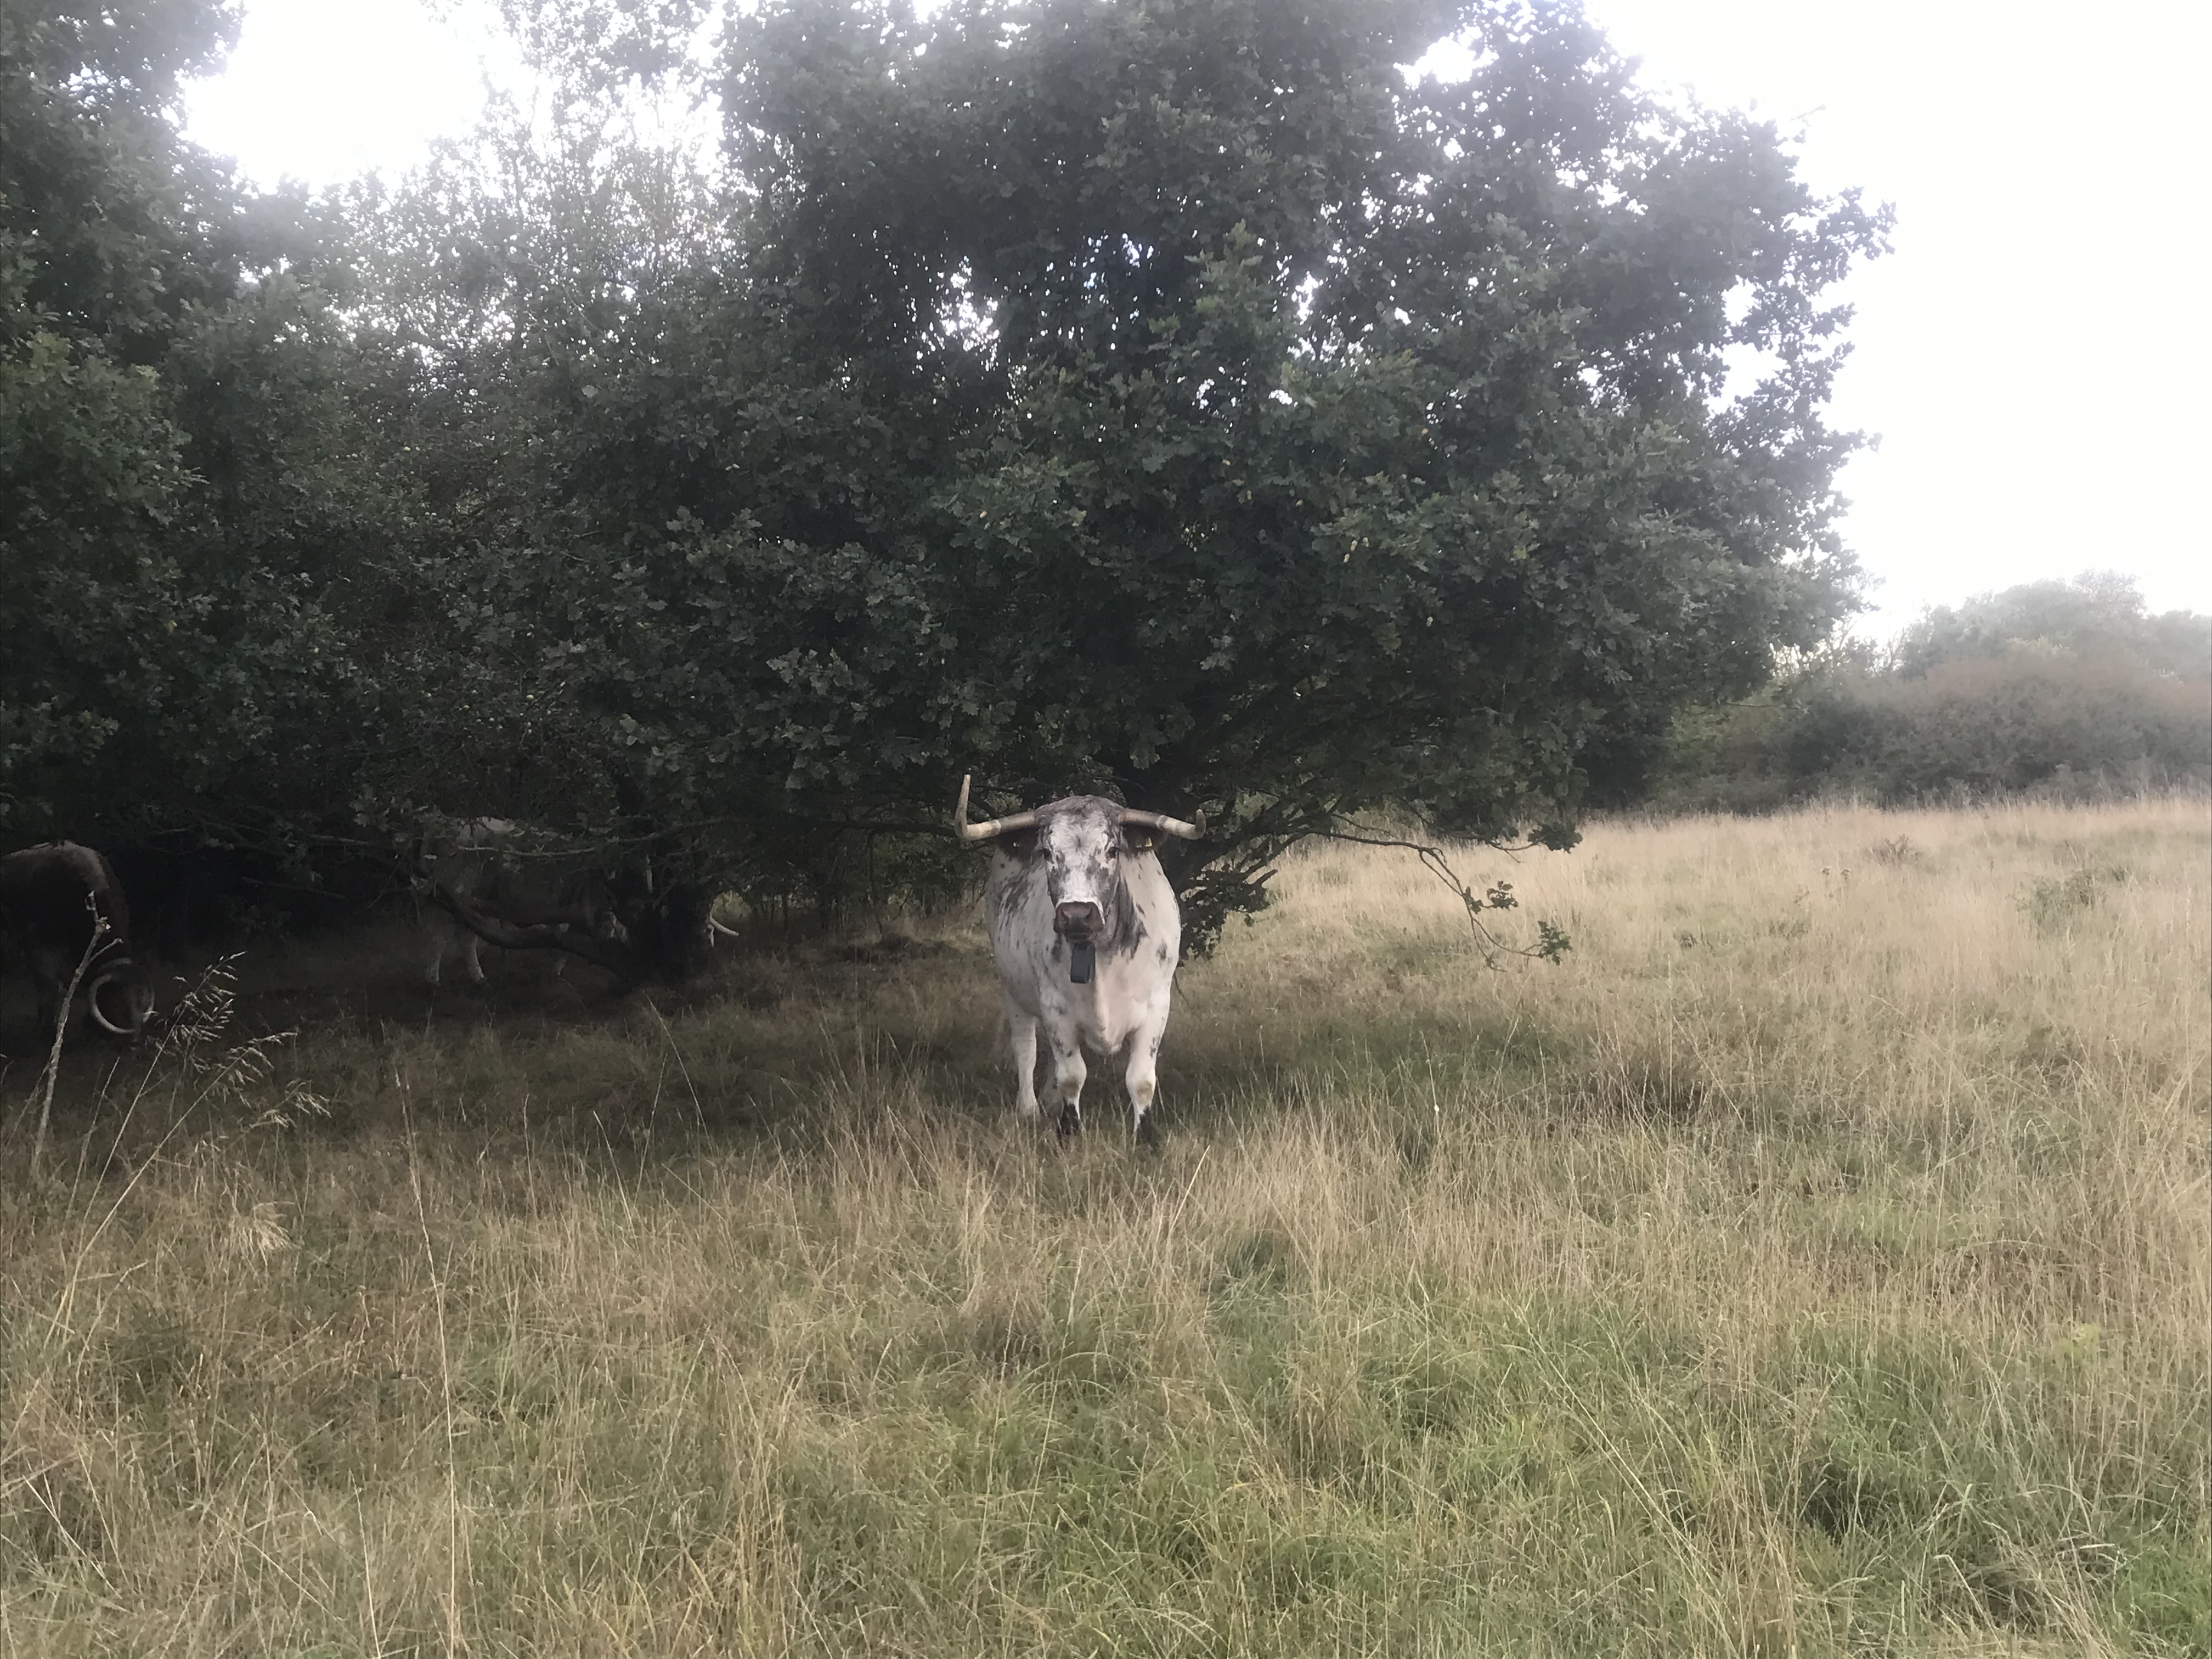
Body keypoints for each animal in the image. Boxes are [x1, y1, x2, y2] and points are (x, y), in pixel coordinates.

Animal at [0, 842, 154, 1044]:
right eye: (121, 1002)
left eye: (141, 998)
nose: (136, 1039)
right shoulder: (43, 954)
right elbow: (50, 991)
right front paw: (48, 1031)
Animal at [417, 820, 624, 985]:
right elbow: (565, 945)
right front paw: (555, 972)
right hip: (452, 897)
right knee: (440, 937)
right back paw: (433, 980)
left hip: (467, 904)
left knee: (465, 938)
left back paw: (478, 977)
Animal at [954, 776, 1202, 1142]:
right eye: (1047, 852)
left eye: (1112, 850)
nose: (1076, 915)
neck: (1101, 955)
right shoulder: (1055, 1008)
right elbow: (1072, 1074)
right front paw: (1069, 1131)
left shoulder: (1157, 1006)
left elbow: (1141, 1079)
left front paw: (1144, 1137)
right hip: (1014, 992)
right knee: (1026, 1049)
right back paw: (1030, 1107)